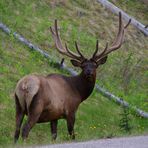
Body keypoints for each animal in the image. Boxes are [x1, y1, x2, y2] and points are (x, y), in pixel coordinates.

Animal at [13, 12, 130, 143]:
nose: (89, 72)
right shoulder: (71, 111)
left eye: (95, 65)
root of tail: (24, 85)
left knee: (16, 130)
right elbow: (72, 135)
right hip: (36, 108)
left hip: (18, 106)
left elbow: (54, 136)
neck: (79, 92)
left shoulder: (54, 116)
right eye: (83, 66)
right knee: (25, 129)